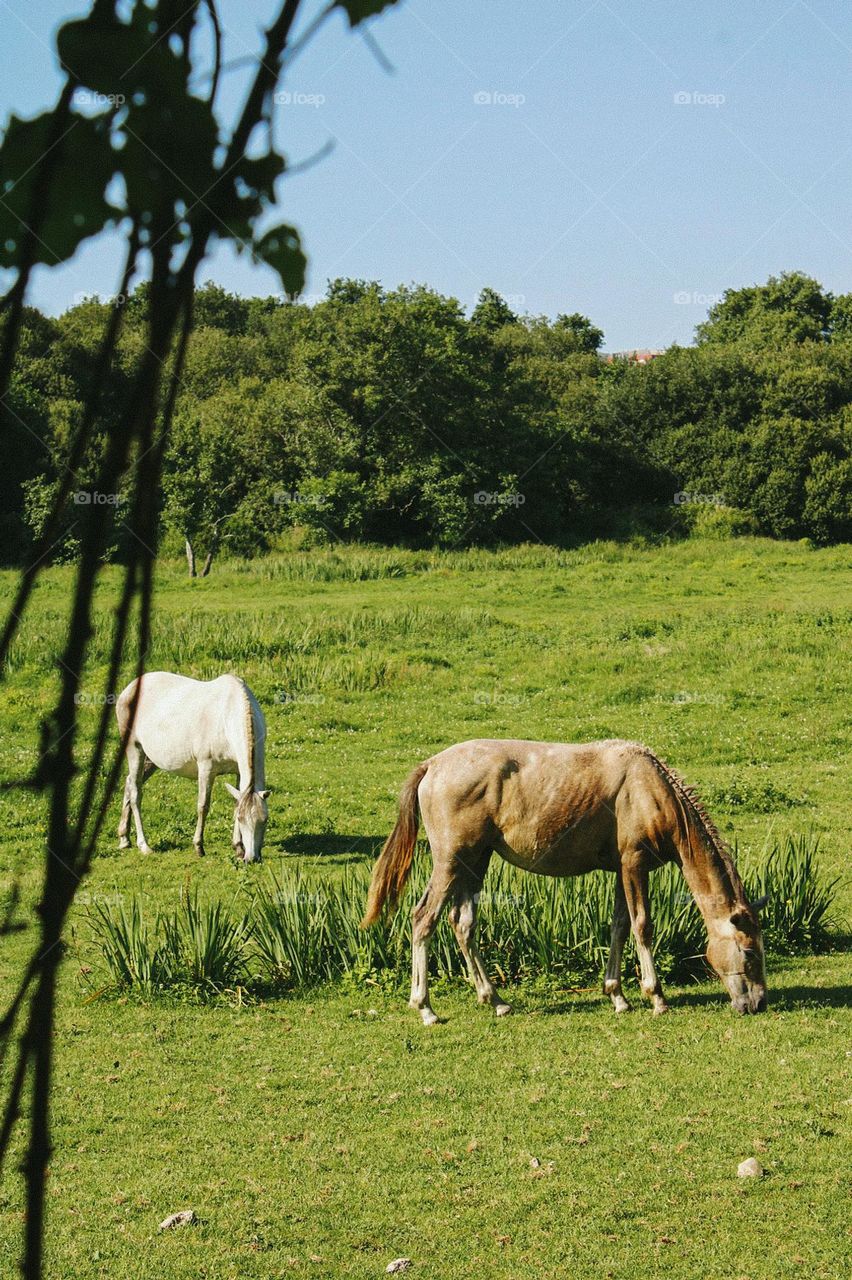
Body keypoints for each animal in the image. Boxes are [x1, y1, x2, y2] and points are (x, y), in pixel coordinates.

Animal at [115, 672, 269, 861]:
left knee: (129, 782)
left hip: (150, 759)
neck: (227, 716)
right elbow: (203, 805)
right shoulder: (206, 767)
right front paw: (199, 847)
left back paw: (124, 838)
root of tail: (130, 688)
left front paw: (238, 847)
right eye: (241, 820)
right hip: (134, 748)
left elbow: (237, 801)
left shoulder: (239, 771)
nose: (252, 858)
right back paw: (144, 845)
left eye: (264, 820)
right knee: (136, 792)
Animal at [362, 738, 768, 1023]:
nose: (759, 1002)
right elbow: (642, 926)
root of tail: (431, 765)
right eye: (748, 952)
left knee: (462, 925)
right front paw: (656, 997)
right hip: (450, 863)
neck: (650, 788)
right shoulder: (634, 865)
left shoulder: (621, 871)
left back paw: (495, 1001)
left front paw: (617, 996)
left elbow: (619, 926)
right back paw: (426, 1008)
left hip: (475, 863)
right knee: (423, 920)